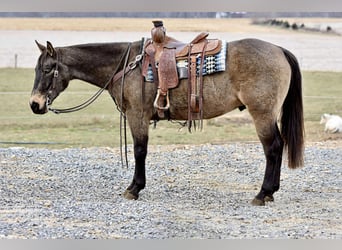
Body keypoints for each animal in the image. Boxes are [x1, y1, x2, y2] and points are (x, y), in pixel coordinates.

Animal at [28, 36, 304, 205]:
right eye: (37, 69)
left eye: (47, 69)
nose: (35, 104)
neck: (126, 65)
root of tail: (279, 50)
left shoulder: (137, 115)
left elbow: (140, 151)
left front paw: (134, 188)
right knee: (278, 147)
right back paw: (270, 192)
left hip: (262, 115)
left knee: (272, 148)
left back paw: (263, 193)